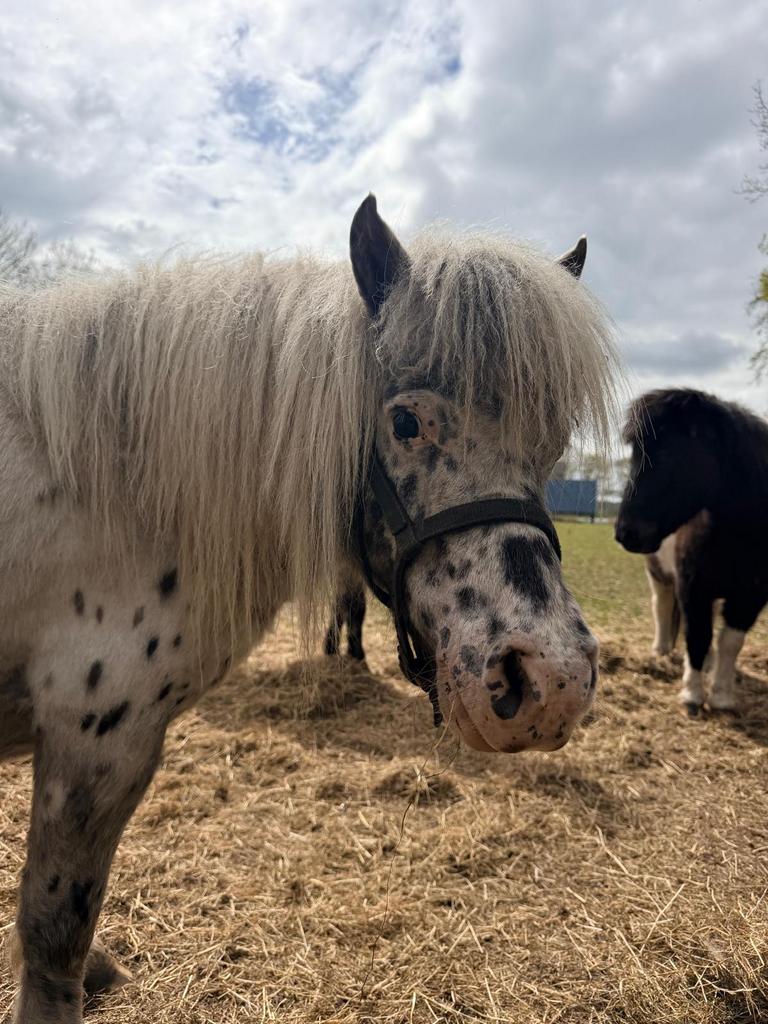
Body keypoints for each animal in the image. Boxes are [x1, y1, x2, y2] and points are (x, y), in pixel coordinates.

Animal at [0, 195, 618, 1022]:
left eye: (551, 439)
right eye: (405, 423)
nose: (552, 682)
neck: (110, 489)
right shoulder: (92, 741)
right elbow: (52, 934)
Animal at [615, 388, 768, 714]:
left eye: (666, 453)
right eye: (635, 453)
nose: (625, 532)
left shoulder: (751, 597)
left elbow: (730, 642)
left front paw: (721, 695)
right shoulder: (692, 587)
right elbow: (697, 635)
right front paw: (692, 694)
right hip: (659, 574)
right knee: (661, 607)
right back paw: (661, 651)